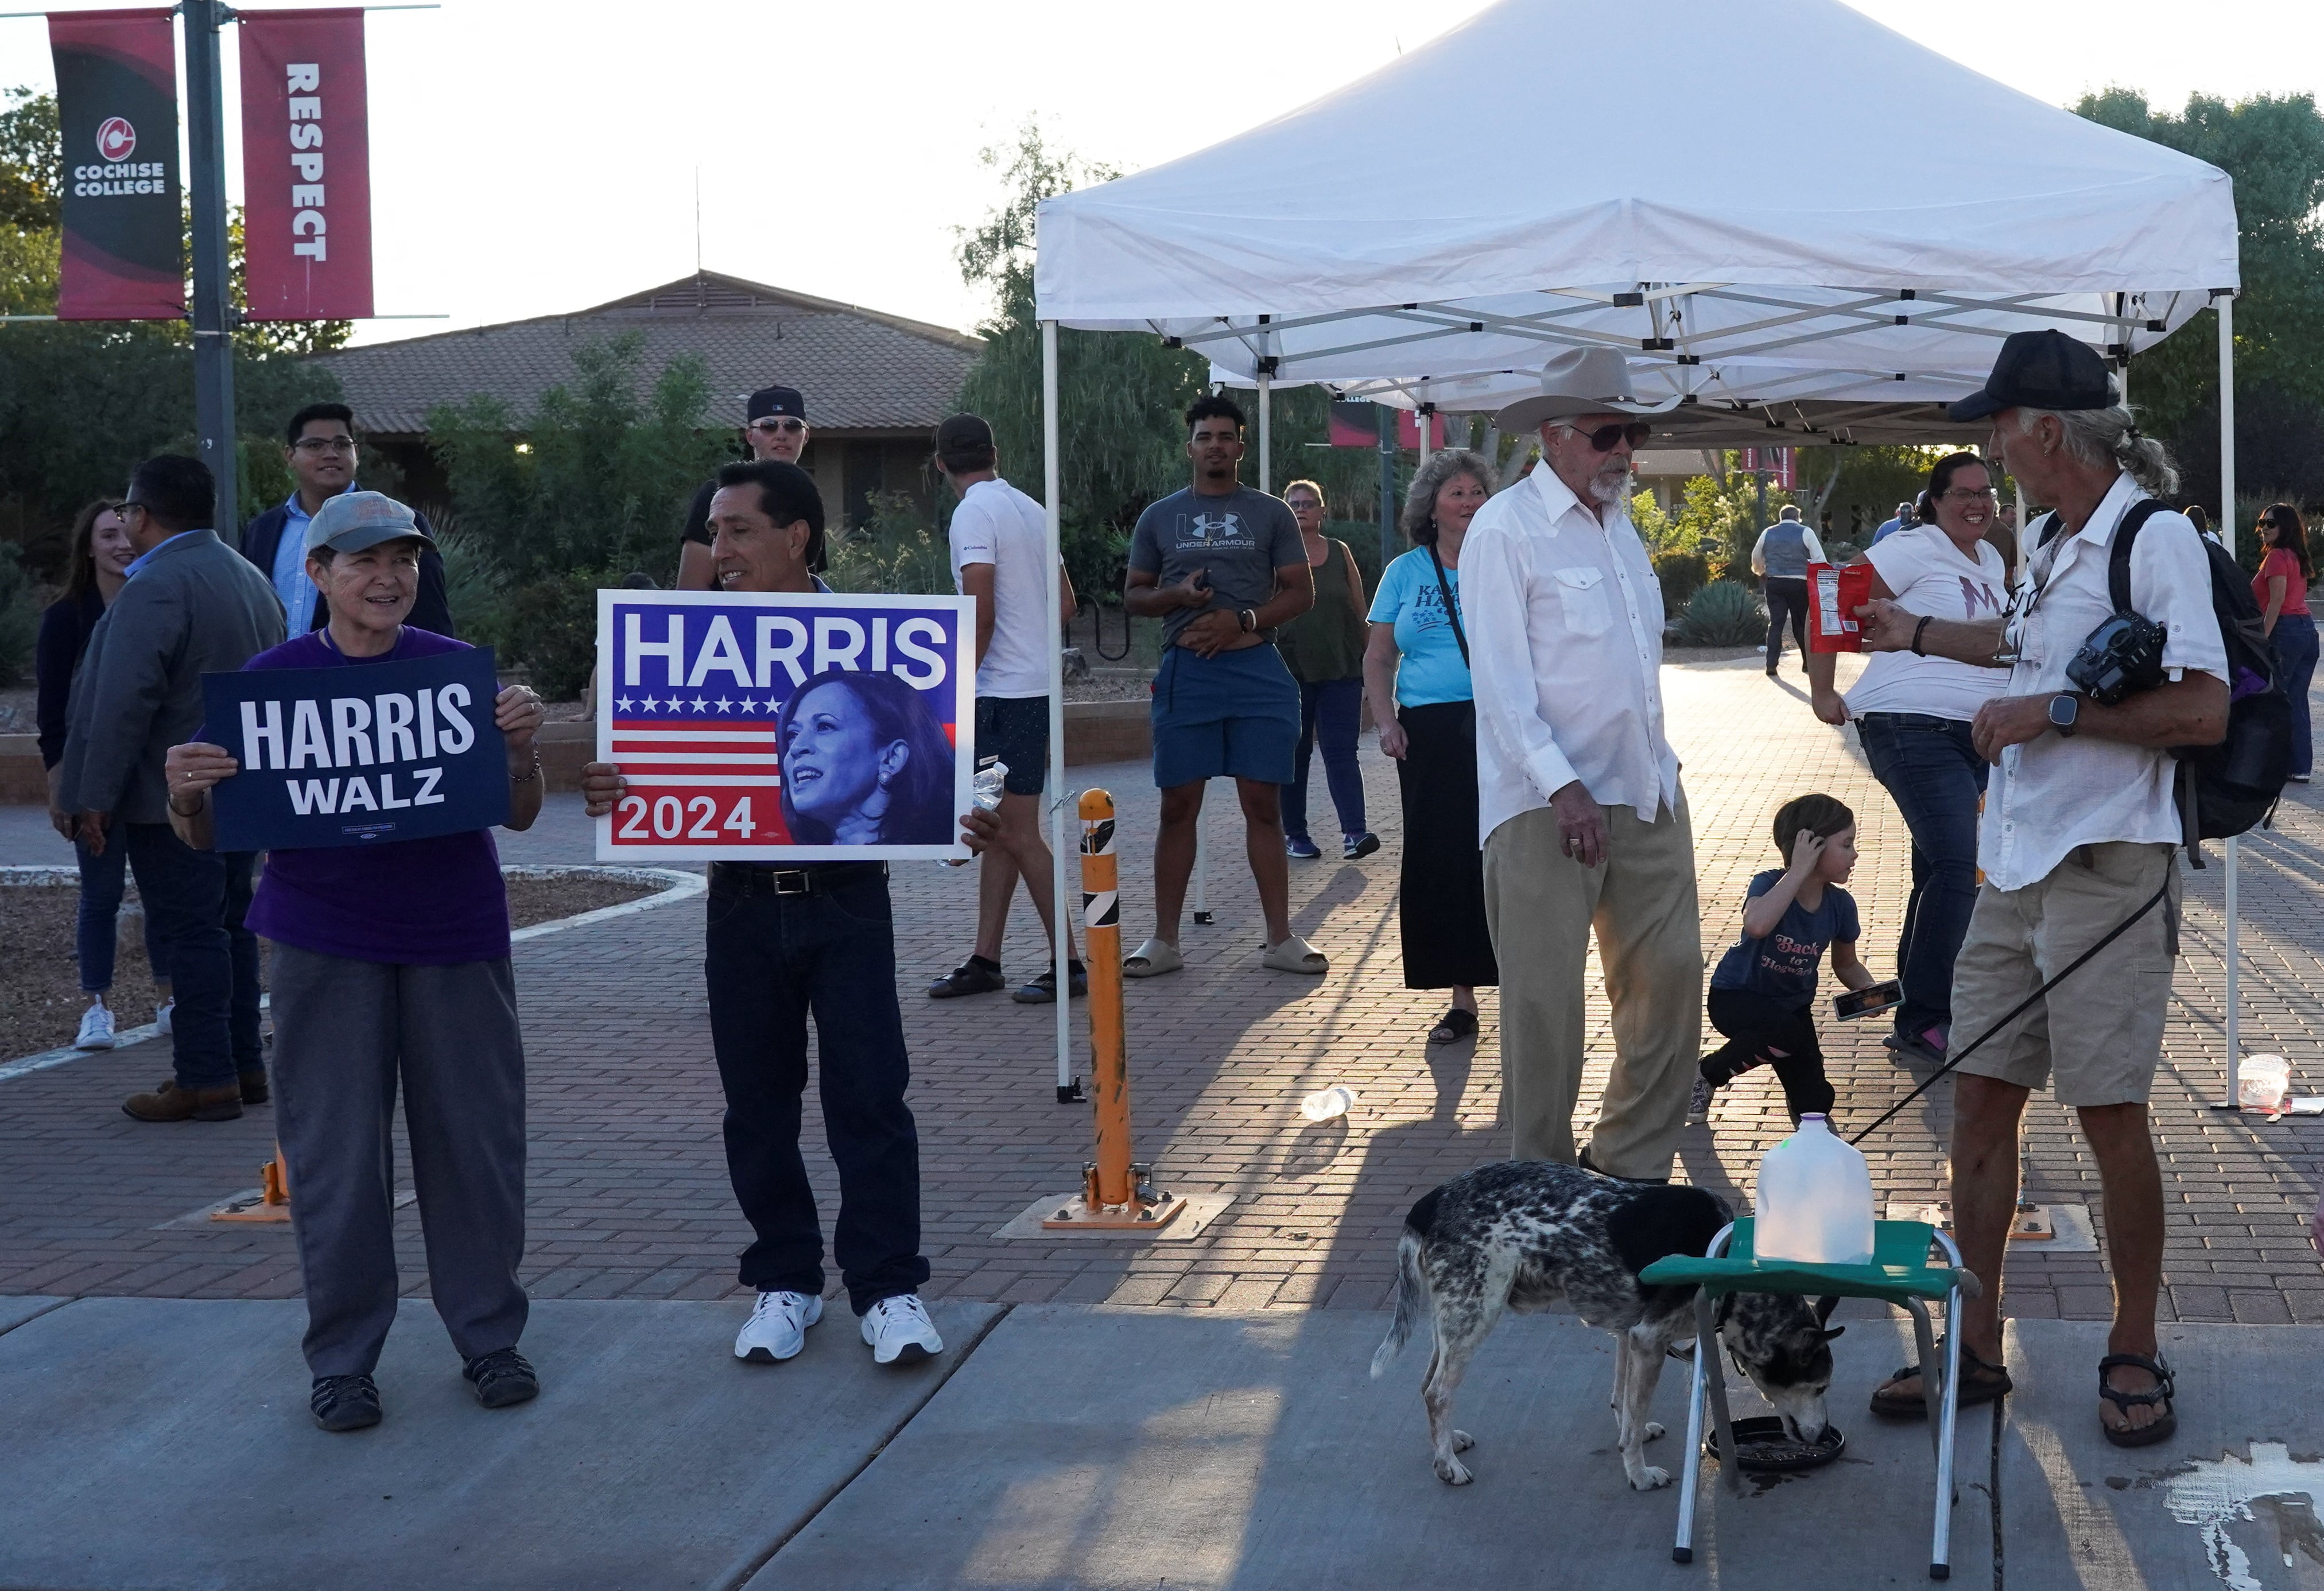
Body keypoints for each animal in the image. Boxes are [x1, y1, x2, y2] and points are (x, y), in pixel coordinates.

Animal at [1366, 1152, 1840, 1486]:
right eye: (1819, 1387)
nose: (1822, 1436)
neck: (1727, 1265)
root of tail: (1427, 1203)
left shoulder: (1629, 1334)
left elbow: (1623, 1402)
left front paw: (1632, 1439)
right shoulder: (1649, 1339)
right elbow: (1633, 1410)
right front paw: (1638, 1474)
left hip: (1451, 1322)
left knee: (1427, 1384)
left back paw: (1448, 1444)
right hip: (1474, 1316)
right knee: (1437, 1393)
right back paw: (1447, 1466)